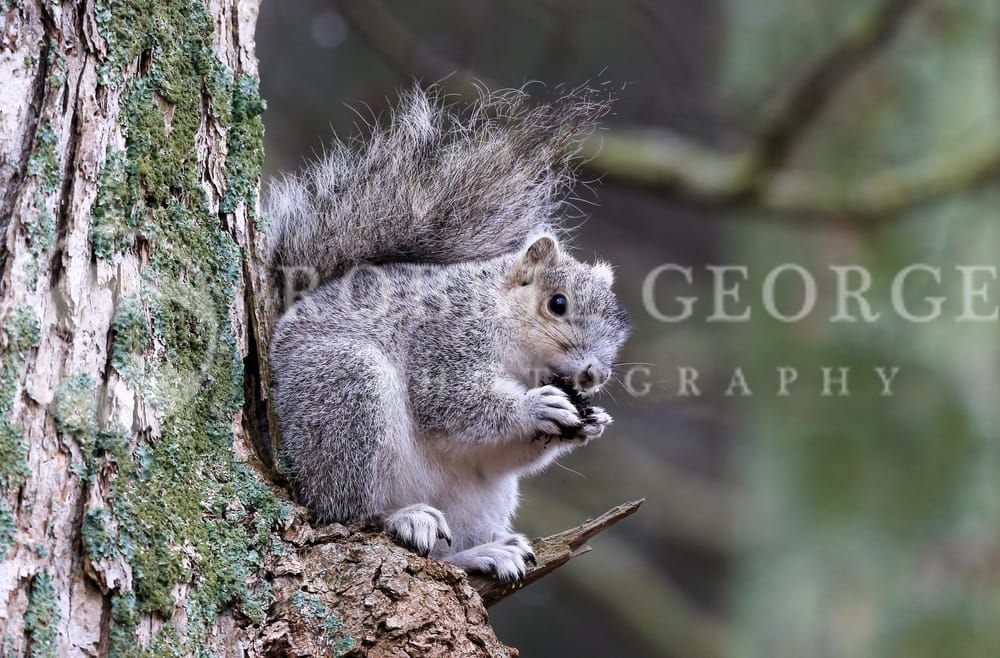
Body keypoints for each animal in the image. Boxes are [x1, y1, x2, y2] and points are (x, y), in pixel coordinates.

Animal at [266, 87, 630, 581]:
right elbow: (452, 401)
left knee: (441, 556)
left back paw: (484, 553)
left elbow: (500, 450)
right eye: (558, 304)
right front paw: (536, 407)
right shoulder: (444, 338)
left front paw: (591, 422)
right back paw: (401, 516)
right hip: (345, 392)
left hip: (480, 496)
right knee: (346, 511)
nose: (596, 374)